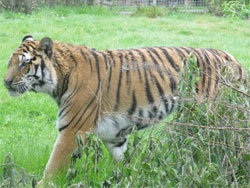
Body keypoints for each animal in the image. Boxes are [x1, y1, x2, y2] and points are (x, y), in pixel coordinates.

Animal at [3, 35, 248, 185]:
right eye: (9, 62)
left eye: (24, 63)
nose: (5, 82)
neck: (60, 79)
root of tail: (233, 59)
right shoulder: (114, 135)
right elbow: (124, 162)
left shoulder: (73, 129)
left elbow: (53, 166)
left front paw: (43, 184)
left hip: (210, 118)